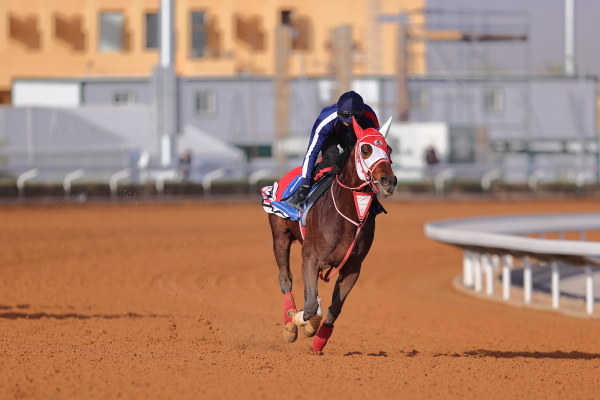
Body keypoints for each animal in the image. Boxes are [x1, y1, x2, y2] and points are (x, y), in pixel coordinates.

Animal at [270, 115, 396, 354]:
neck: (348, 214)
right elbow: (310, 306)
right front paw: (300, 321)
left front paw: (318, 339)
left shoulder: (352, 268)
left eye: (389, 149)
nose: (388, 180)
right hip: (279, 235)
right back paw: (289, 324)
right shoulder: (310, 258)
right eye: (365, 149)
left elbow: (333, 308)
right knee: (285, 279)